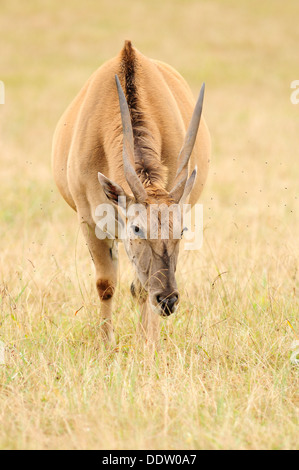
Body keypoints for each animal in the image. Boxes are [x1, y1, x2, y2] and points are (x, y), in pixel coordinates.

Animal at [52, 41, 211, 342]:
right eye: (137, 228)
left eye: (182, 230)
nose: (168, 300)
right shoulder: (90, 222)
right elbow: (105, 284)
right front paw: (106, 343)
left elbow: (140, 289)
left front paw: (149, 343)